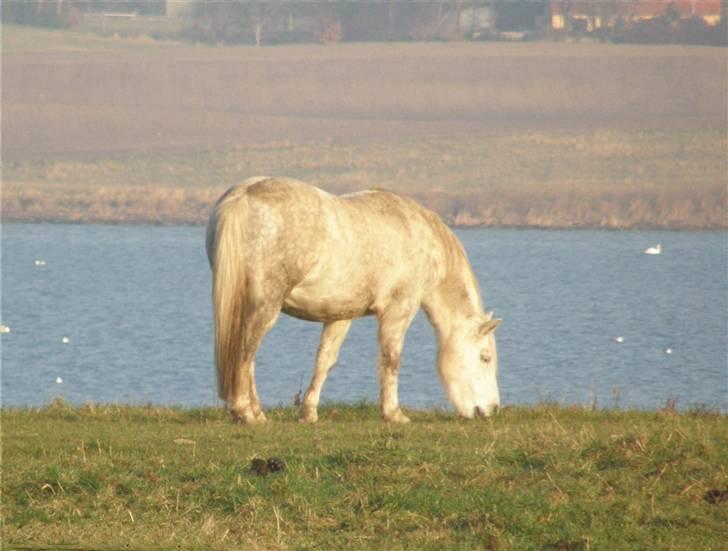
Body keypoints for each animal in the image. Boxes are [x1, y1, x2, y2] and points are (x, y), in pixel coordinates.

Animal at [205, 177, 500, 422]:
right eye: (484, 358)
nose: (491, 409)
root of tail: (244, 195)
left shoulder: (341, 314)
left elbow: (325, 360)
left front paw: (309, 413)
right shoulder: (399, 310)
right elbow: (391, 359)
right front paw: (393, 413)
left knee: (248, 358)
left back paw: (257, 412)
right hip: (265, 306)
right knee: (246, 352)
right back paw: (245, 412)